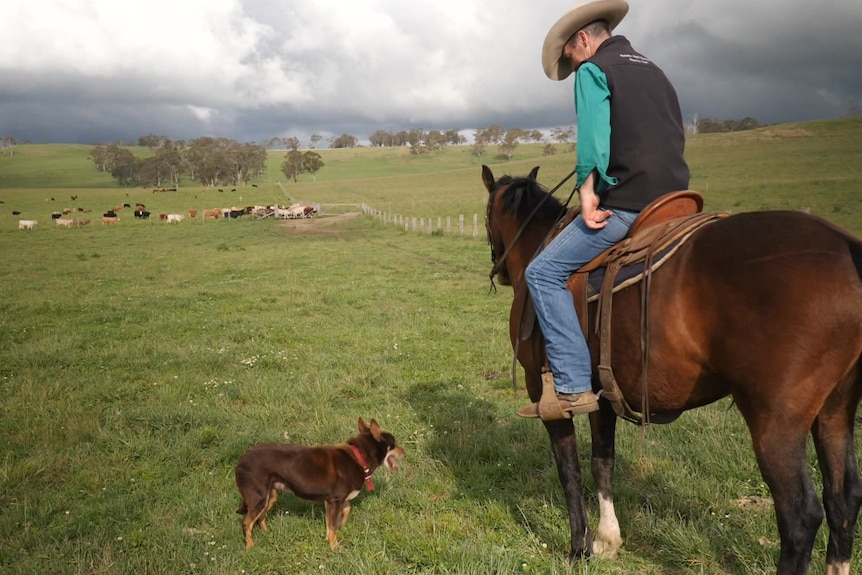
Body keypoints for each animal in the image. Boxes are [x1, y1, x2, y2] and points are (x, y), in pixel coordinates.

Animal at [235, 418, 406, 548]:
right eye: (394, 444)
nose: (404, 453)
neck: (359, 457)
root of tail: (240, 461)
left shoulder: (334, 500)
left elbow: (341, 514)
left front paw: (339, 526)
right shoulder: (334, 500)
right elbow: (332, 526)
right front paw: (334, 547)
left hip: (270, 496)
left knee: (260, 518)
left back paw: (267, 534)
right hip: (259, 498)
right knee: (247, 524)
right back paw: (250, 547)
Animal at [482, 164, 862, 572]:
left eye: (487, 215)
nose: (500, 271)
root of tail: (846, 247)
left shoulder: (546, 395)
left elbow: (569, 469)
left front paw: (578, 548)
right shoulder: (601, 394)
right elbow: (603, 461)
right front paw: (607, 539)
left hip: (776, 423)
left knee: (800, 516)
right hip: (835, 413)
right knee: (844, 499)